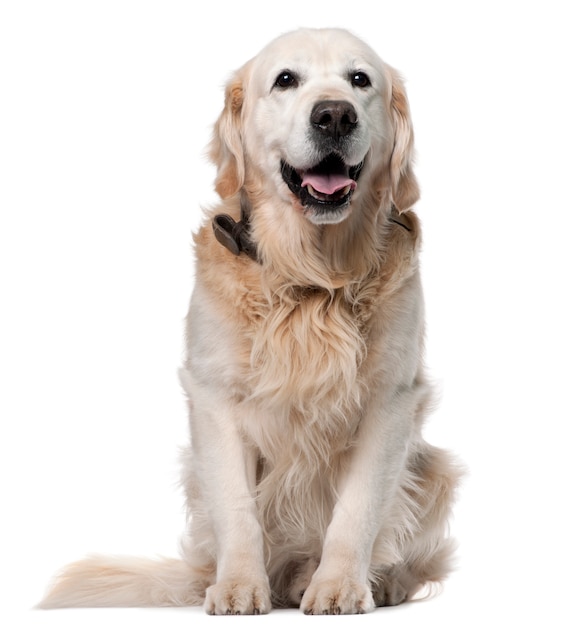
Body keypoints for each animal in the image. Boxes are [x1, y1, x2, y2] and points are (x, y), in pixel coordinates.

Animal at [39, 26, 460, 612]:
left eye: (360, 80)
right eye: (286, 80)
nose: (335, 115)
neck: (311, 277)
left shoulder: (390, 401)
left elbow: (356, 512)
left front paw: (339, 586)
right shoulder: (214, 396)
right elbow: (238, 510)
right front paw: (239, 586)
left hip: (436, 471)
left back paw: (368, 581)